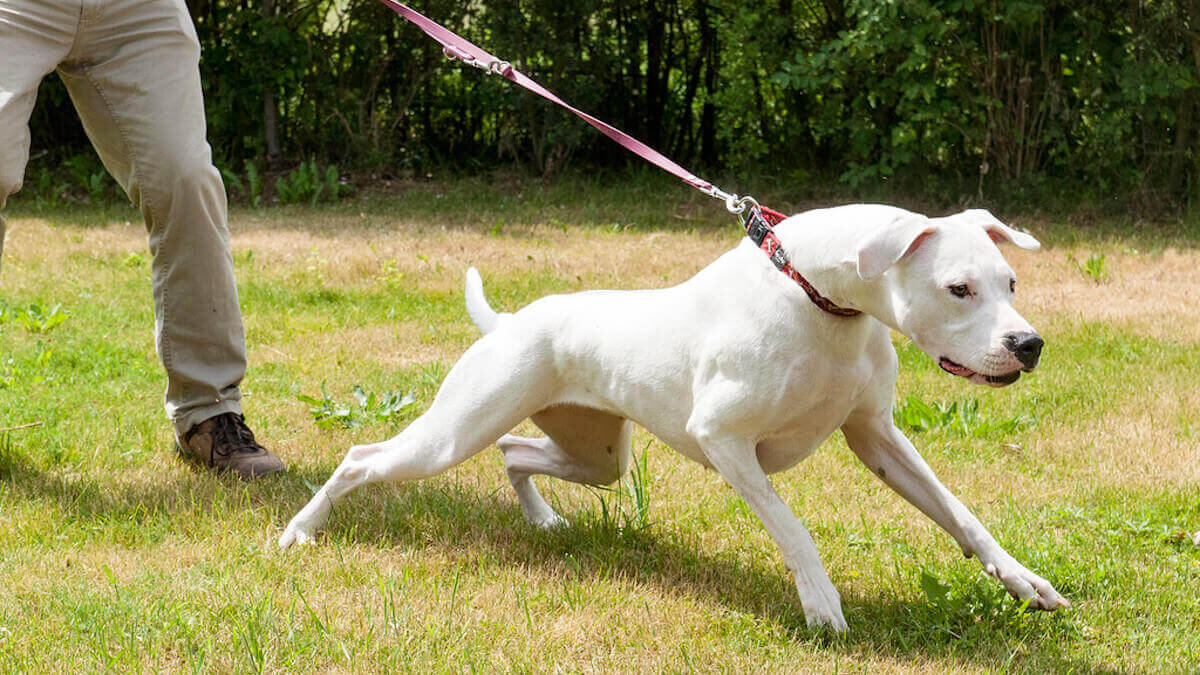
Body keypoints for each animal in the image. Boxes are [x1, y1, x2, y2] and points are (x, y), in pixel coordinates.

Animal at [280, 201, 1070, 629]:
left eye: (1011, 281)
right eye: (958, 288)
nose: (1028, 345)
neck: (815, 297)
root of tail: (510, 321)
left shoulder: (877, 437)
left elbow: (960, 514)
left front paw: (1023, 581)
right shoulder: (724, 441)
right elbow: (793, 529)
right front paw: (821, 604)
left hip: (597, 456)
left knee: (515, 451)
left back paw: (542, 519)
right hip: (449, 436)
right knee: (363, 458)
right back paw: (300, 532)